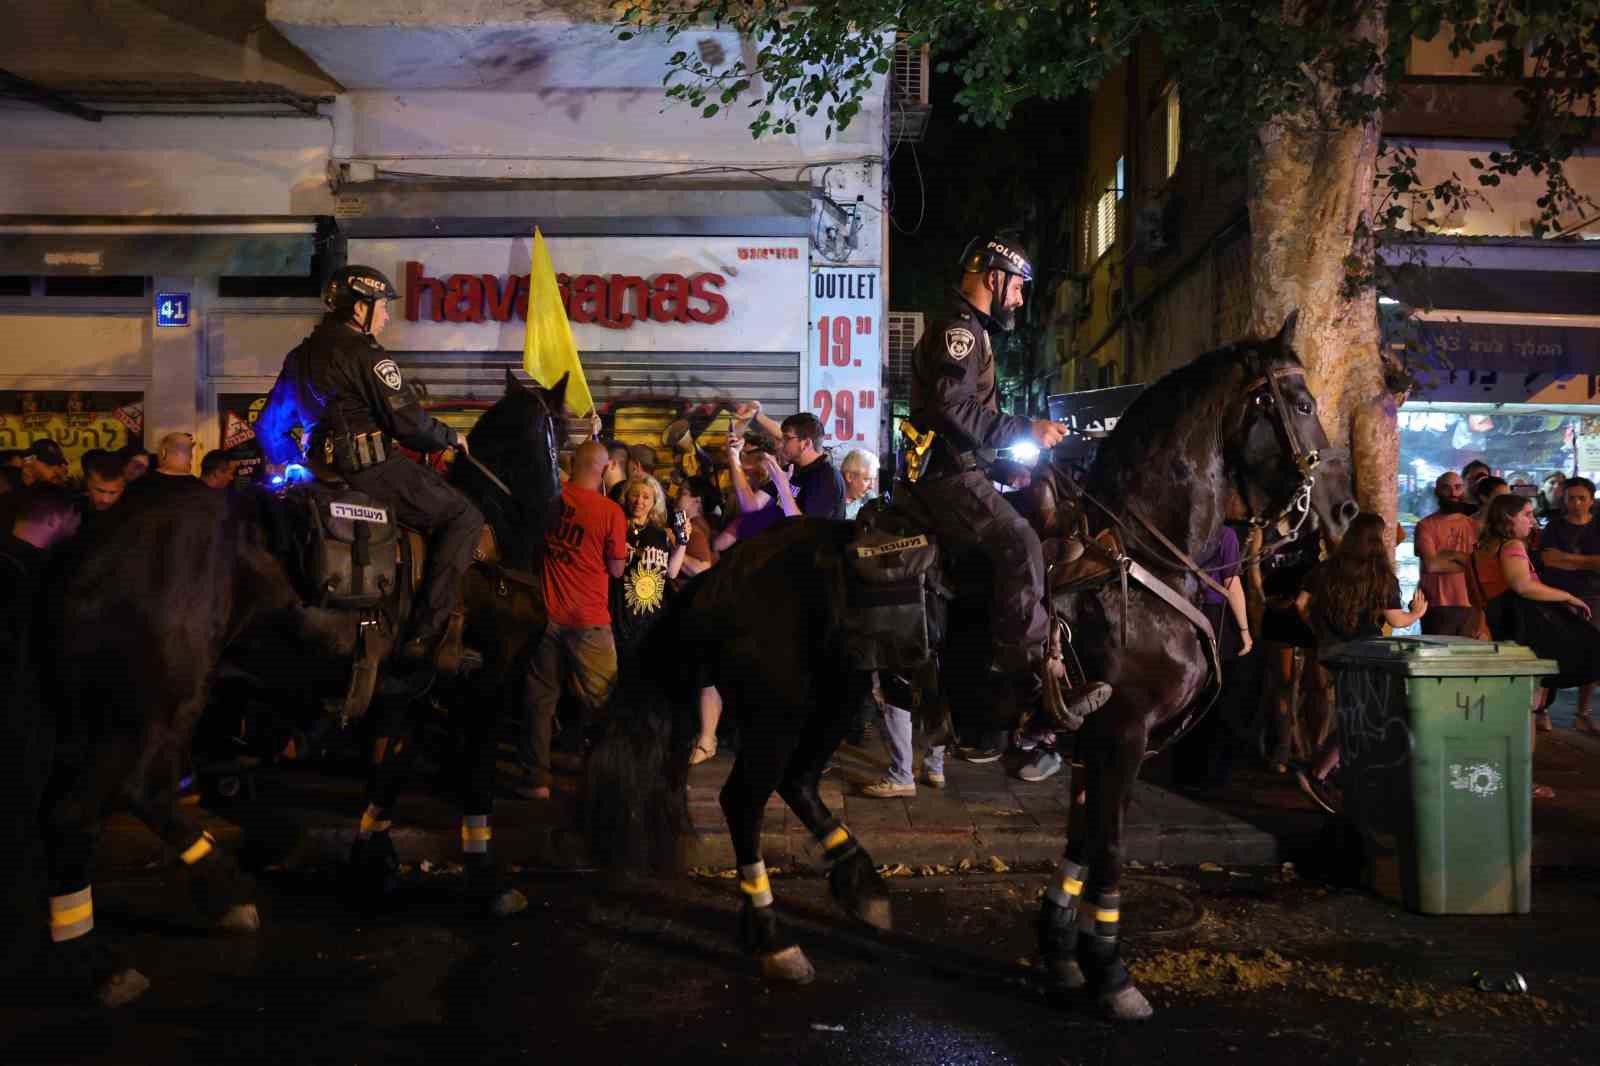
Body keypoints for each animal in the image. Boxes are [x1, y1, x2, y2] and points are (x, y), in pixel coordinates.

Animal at [36, 369, 569, 998]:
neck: (494, 534)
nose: (563, 507)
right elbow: (476, 787)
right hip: (158, 702)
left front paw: (371, 863)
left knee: (117, 797)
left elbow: (386, 779)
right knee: (101, 801)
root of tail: (87, 548)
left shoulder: (405, 697)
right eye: (563, 433)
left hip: (123, 707)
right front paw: (489, 883)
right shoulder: (483, 692)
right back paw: (111, 953)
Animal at [582, 313, 1356, 1011]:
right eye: (1303, 403)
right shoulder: (1123, 732)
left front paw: (1061, 951)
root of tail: (733, 565)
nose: (1345, 511)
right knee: (746, 799)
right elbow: (1108, 847)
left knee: (799, 783)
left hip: (836, 696)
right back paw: (775, 938)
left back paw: (860, 883)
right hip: (781, 706)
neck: (1139, 553)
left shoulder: (1092, 740)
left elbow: (1081, 841)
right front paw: (1110, 974)